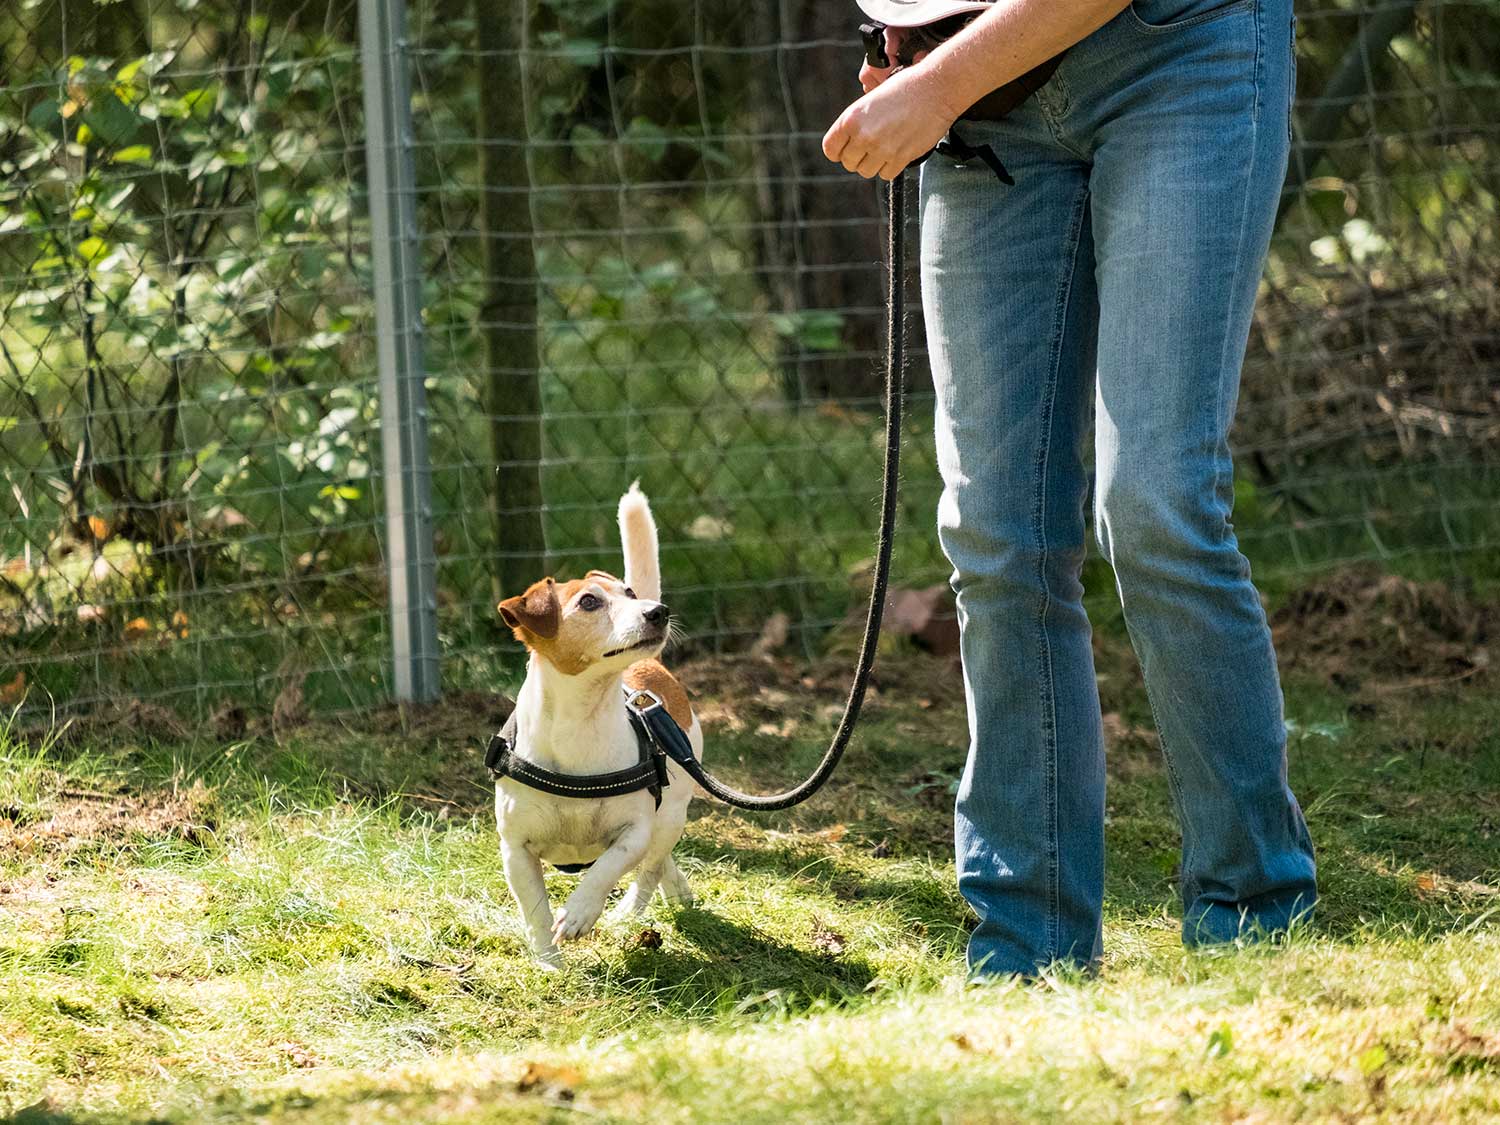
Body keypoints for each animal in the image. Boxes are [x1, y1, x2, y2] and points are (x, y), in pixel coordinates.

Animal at [495, 486, 699, 972]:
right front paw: (549, 964)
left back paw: (628, 912)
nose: (658, 611)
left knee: (651, 866)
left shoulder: (635, 831)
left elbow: (610, 866)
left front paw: (580, 913)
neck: (581, 722)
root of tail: (650, 666)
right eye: (589, 602)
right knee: (662, 861)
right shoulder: (516, 849)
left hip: (672, 812)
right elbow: (534, 908)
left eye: (630, 593)